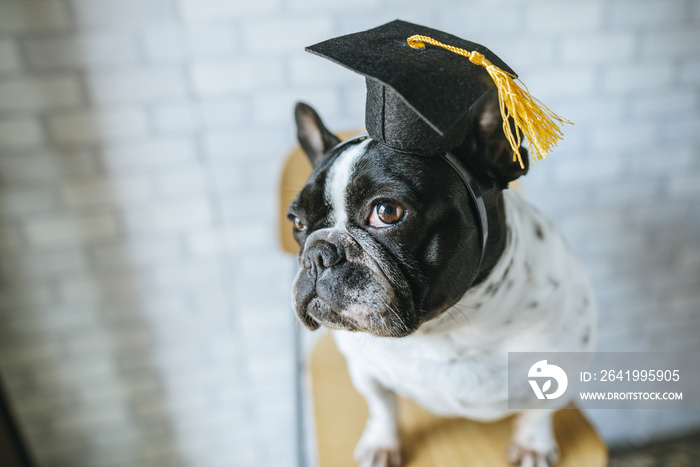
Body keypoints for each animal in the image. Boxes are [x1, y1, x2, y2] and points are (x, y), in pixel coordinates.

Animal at [288, 89, 596, 466]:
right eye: (297, 222)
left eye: (387, 212)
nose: (317, 254)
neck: (443, 332)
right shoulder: (364, 370)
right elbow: (382, 404)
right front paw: (382, 443)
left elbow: (539, 411)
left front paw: (532, 444)